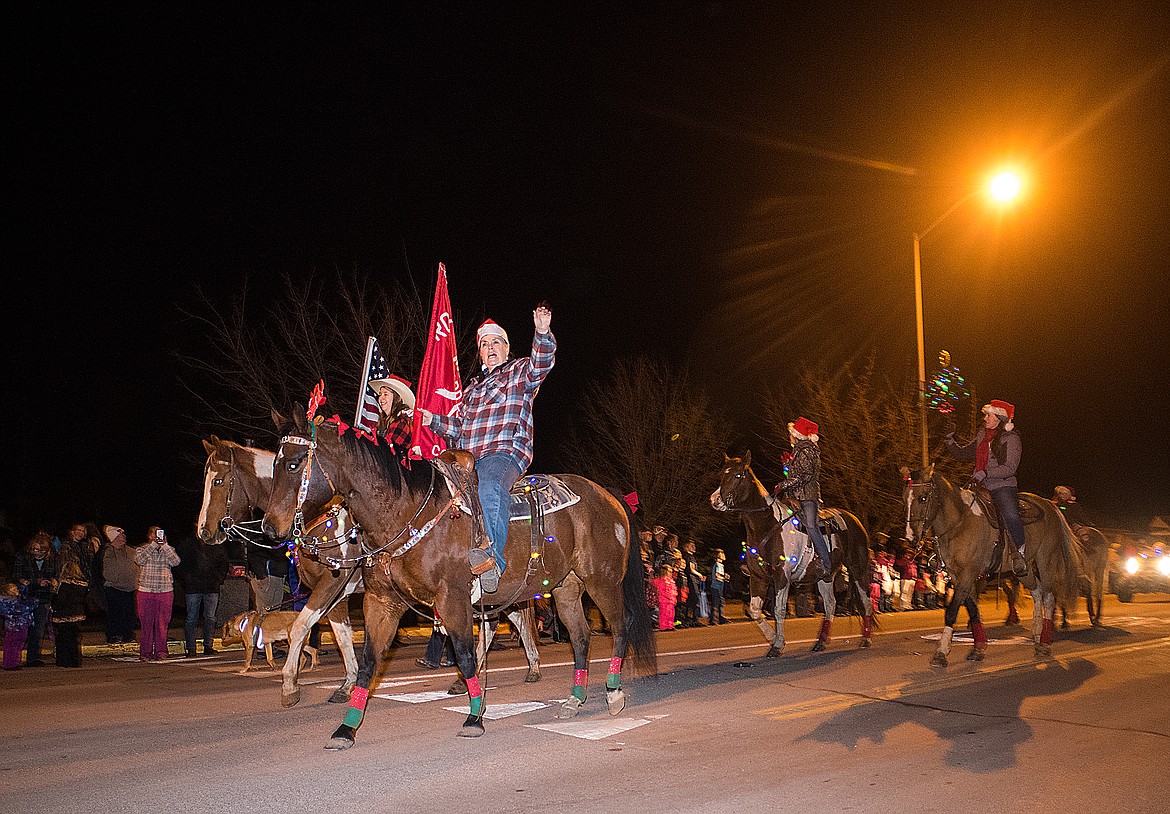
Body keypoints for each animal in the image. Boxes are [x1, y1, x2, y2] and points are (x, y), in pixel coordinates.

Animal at [259, 409, 655, 748]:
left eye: (293, 463)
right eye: (274, 465)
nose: (270, 527)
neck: (405, 511)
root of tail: (608, 495)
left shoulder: (452, 597)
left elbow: (464, 654)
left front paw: (475, 717)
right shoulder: (381, 601)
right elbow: (368, 661)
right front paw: (346, 727)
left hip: (602, 580)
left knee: (620, 626)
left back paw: (613, 692)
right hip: (565, 588)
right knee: (580, 637)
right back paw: (574, 699)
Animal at [706, 451, 875, 654]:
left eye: (738, 475)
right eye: (722, 474)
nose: (715, 500)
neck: (767, 525)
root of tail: (856, 522)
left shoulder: (781, 575)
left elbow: (779, 609)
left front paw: (778, 645)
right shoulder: (758, 577)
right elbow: (755, 610)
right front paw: (773, 638)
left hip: (858, 569)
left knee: (865, 602)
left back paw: (866, 639)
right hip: (825, 577)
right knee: (830, 604)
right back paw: (820, 642)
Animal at [903, 467, 1085, 664]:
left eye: (923, 498)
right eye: (905, 499)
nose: (910, 537)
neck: (960, 524)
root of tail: (1050, 505)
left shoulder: (968, 574)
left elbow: (952, 612)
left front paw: (941, 652)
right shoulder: (959, 577)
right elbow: (973, 610)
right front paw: (978, 649)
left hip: (1046, 561)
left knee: (1049, 597)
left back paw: (1044, 642)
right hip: (1023, 569)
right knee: (1037, 592)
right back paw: (1037, 634)